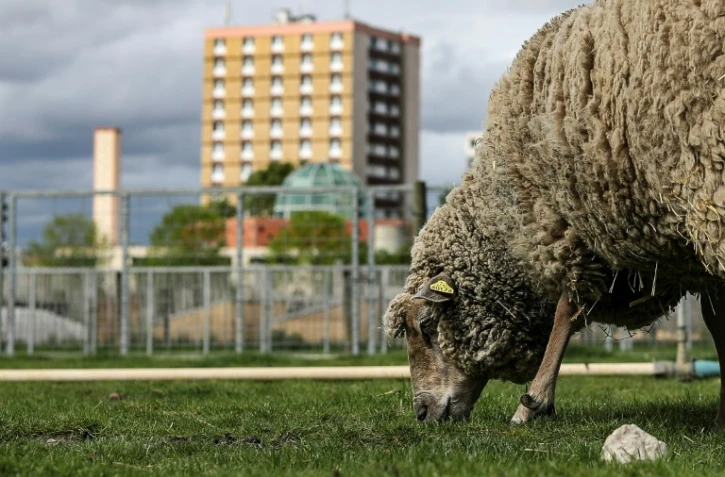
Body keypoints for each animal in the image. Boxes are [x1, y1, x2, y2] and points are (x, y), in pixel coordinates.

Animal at [385, 0, 725, 426]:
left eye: (427, 326)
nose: (422, 412)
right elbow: (715, 320)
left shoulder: (571, 226)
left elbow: (567, 312)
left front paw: (533, 402)